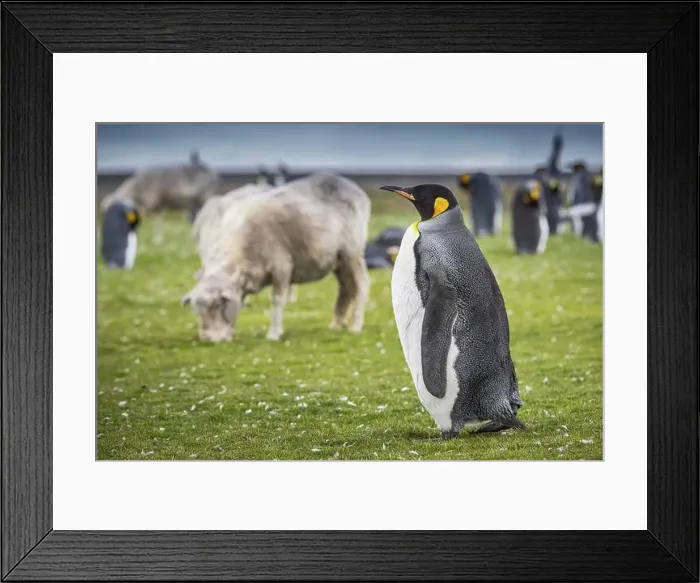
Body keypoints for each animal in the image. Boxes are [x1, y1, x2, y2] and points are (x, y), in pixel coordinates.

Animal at [181, 173, 371, 343]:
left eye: (217, 305)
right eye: (197, 312)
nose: (208, 340)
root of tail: (348, 184)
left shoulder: (281, 266)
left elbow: (277, 301)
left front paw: (274, 334)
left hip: (352, 251)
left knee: (361, 284)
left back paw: (356, 325)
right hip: (338, 260)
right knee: (346, 287)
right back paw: (336, 325)